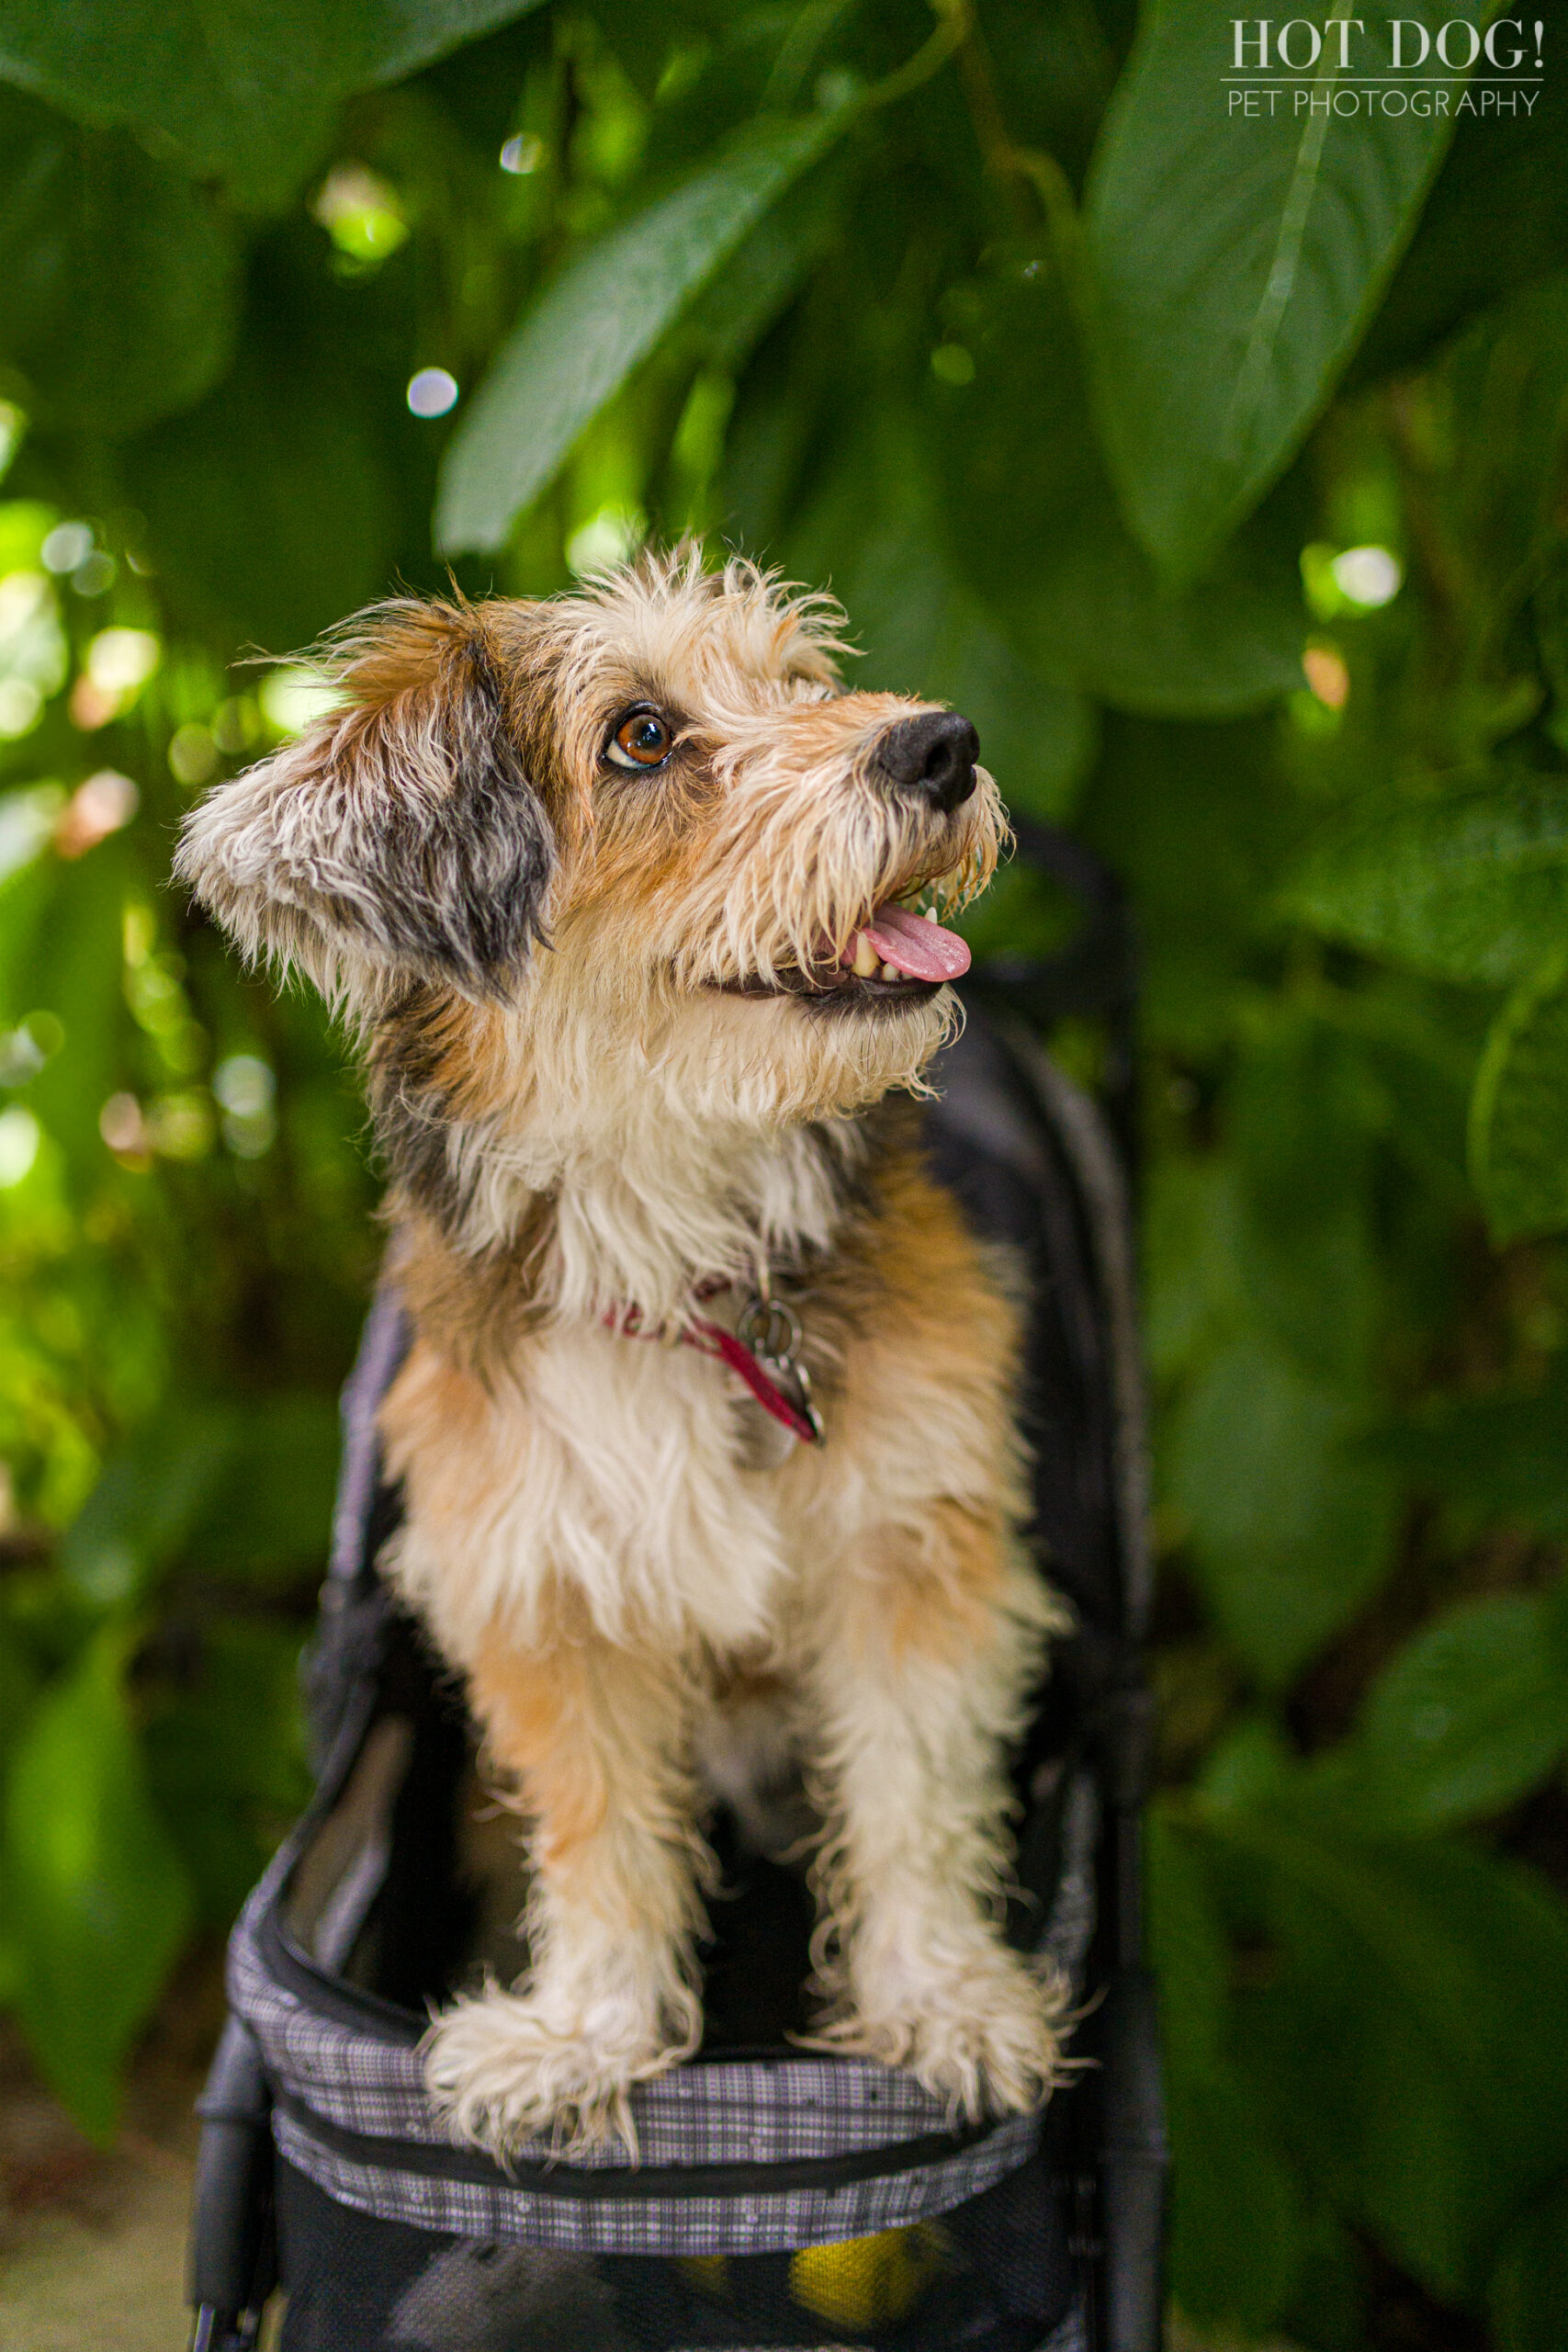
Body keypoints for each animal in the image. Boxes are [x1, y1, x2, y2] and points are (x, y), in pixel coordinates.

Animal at [177, 545, 1072, 2154]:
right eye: (641, 737)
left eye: (797, 681)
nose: (940, 744)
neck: (680, 1265)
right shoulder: (544, 1598)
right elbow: (600, 1836)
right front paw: (584, 2040)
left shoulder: (908, 1549)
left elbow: (911, 1791)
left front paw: (937, 2002)